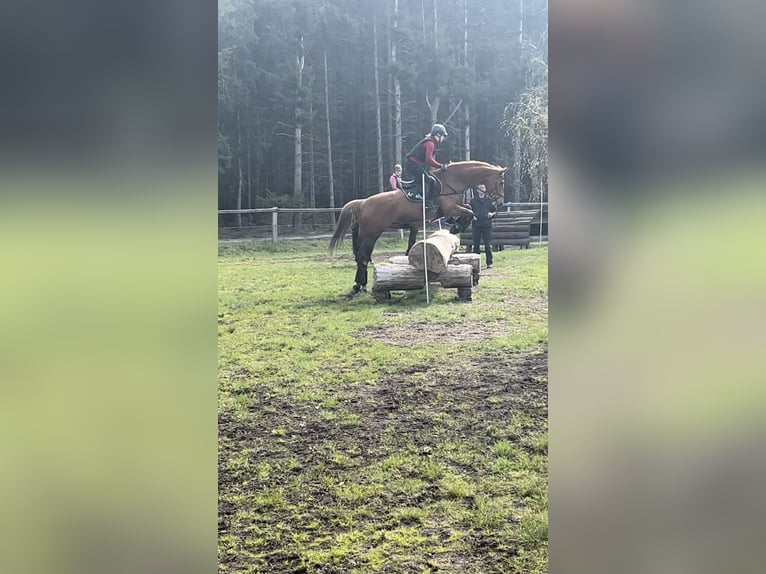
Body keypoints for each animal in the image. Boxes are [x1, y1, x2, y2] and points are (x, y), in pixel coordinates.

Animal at [328, 162, 504, 296]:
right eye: (501, 182)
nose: (500, 202)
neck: (453, 181)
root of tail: (363, 203)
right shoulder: (451, 208)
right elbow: (471, 211)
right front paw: (456, 226)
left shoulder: (453, 209)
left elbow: (468, 209)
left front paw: (455, 224)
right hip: (371, 235)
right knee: (363, 257)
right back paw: (360, 285)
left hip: (365, 234)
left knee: (360, 257)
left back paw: (359, 285)